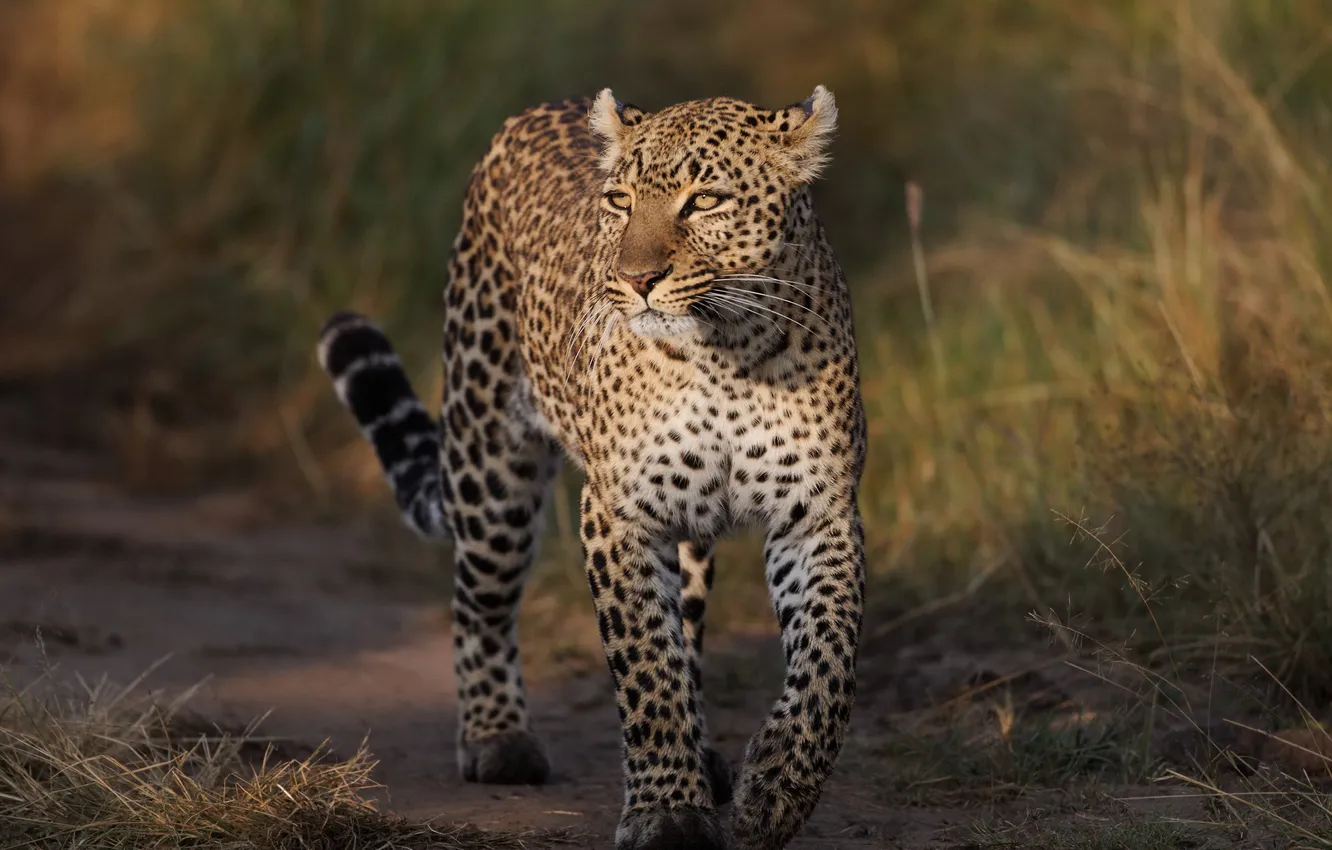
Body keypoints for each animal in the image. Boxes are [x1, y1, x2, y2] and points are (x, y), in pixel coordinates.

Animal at [317, 86, 868, 850]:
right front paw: (667, 812)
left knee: (687, 629)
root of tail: (539, 107)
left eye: (704, 200)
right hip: (490, 466)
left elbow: (827, 666)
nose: (636, 281)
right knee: (481, 601)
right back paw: (497, 737)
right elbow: (645, 665)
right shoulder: (620, 512)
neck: (729, 351)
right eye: (619, 201)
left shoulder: (818, 514)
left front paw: (775, 792)